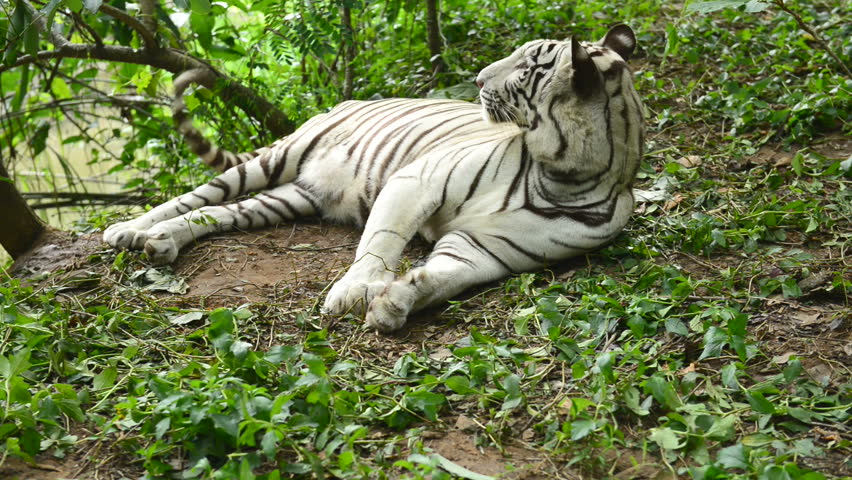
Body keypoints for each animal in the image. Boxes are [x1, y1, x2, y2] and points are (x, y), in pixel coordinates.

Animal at [103, 24, 644, 332]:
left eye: (527, 66)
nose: (478, 79)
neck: (564, 175)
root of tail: (343, 101)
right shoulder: (417, 180)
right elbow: (381, 242)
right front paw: (354, 290)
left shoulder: (486, 249)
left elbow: (446, 277)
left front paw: (396, 301)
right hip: (277, 157)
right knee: (196, 195)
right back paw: (129, 229)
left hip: (290, 197)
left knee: (219, 212)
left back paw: (162, 242)